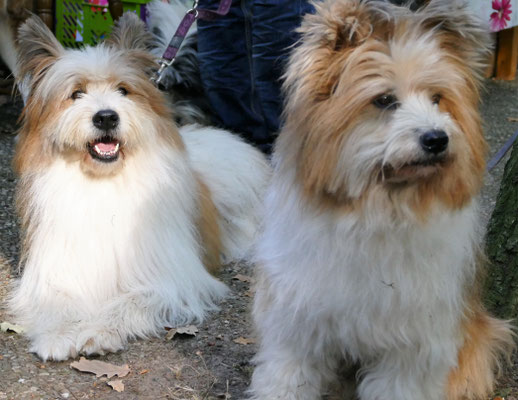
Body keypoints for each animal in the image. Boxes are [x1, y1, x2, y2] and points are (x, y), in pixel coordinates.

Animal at [8, 14, 272, 360]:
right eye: (76, 93)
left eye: (123, 90)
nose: (106, 117)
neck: (104, 183)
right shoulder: (57, 272)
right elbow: (58, 302)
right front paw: (60, 333)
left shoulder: (169, 278)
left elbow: (131, 300)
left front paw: (98, 330)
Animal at [251, 0, 516, 400]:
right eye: (385, 100)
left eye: (437, 98)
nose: (436, 138)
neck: (379, 209)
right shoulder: (297, 322)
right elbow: (286, 374)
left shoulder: (412, 347)